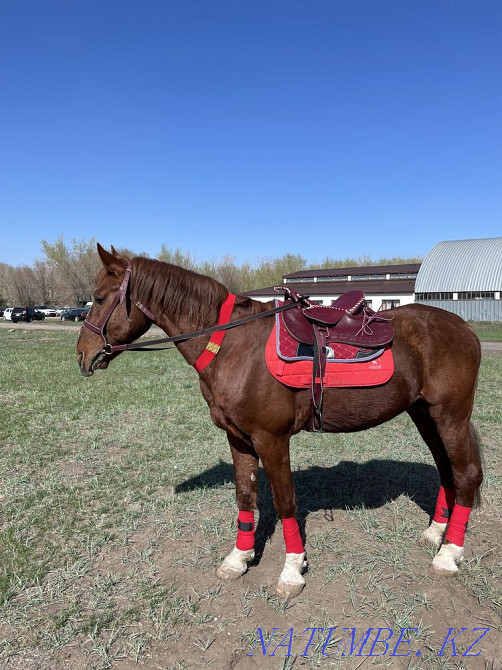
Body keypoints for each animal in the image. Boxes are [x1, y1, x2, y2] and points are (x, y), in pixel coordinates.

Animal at [77, 244, 483, 599]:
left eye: (100, 298)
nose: (82, 355)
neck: (232, 344)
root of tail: (464, 328)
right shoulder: (238, 439)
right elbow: (245, 496)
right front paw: (238, 559)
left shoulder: (271, 439)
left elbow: (285, 502)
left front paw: (291, 570)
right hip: (424, 415)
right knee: (446, 470)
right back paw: (436, 533)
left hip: (450, 416)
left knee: (466, 475)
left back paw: (448, 554)